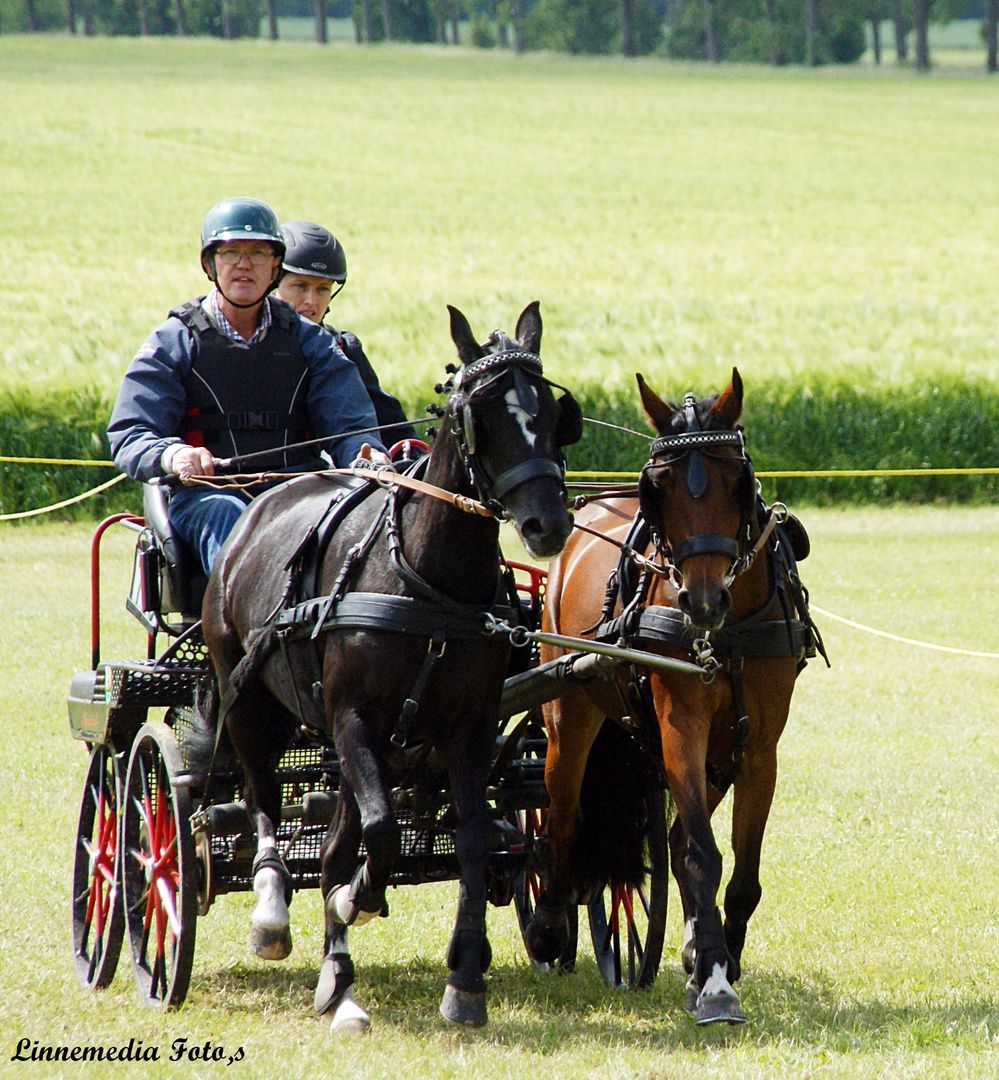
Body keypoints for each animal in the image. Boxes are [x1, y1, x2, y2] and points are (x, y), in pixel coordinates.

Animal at [196, 302, 578, 1028]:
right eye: (480, 415)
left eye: (552, 412)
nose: (548, 525)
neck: (428, 583)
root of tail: (262, 504)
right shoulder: (355, 719)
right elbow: (381, 833)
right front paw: (358, 899)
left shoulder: (468, 730)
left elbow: (471, 840)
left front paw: (464, 982)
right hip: (251, 700)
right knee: (262, 798)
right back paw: (275, 914)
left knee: (335, 838)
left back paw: (338, 980)